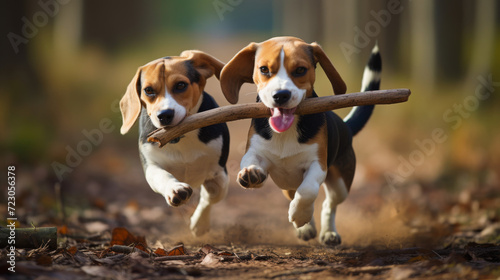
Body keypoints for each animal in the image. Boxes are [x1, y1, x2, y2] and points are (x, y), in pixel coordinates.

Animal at [120, 50, 229, 236]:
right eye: (148, 90)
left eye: (180, 85)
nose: (164, 115)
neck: (179, 137)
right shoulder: (151, 166)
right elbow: (162, 176)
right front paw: (175, 189)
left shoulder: (218, 173)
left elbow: (210, 196)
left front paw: (200, 223)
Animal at [221, 36, 380, 245]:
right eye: (264, 69)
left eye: (300, 70)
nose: (280, 95)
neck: (286, 132)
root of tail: (345, 126)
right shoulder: (254, 150)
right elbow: (250, 162)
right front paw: (252, 173)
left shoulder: (318, 164)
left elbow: (308, 190)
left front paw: (300, 216)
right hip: (288, 186)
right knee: (296, 195)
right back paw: (306, 228)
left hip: (341, 184)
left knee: (328, 204)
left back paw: (328, 233)